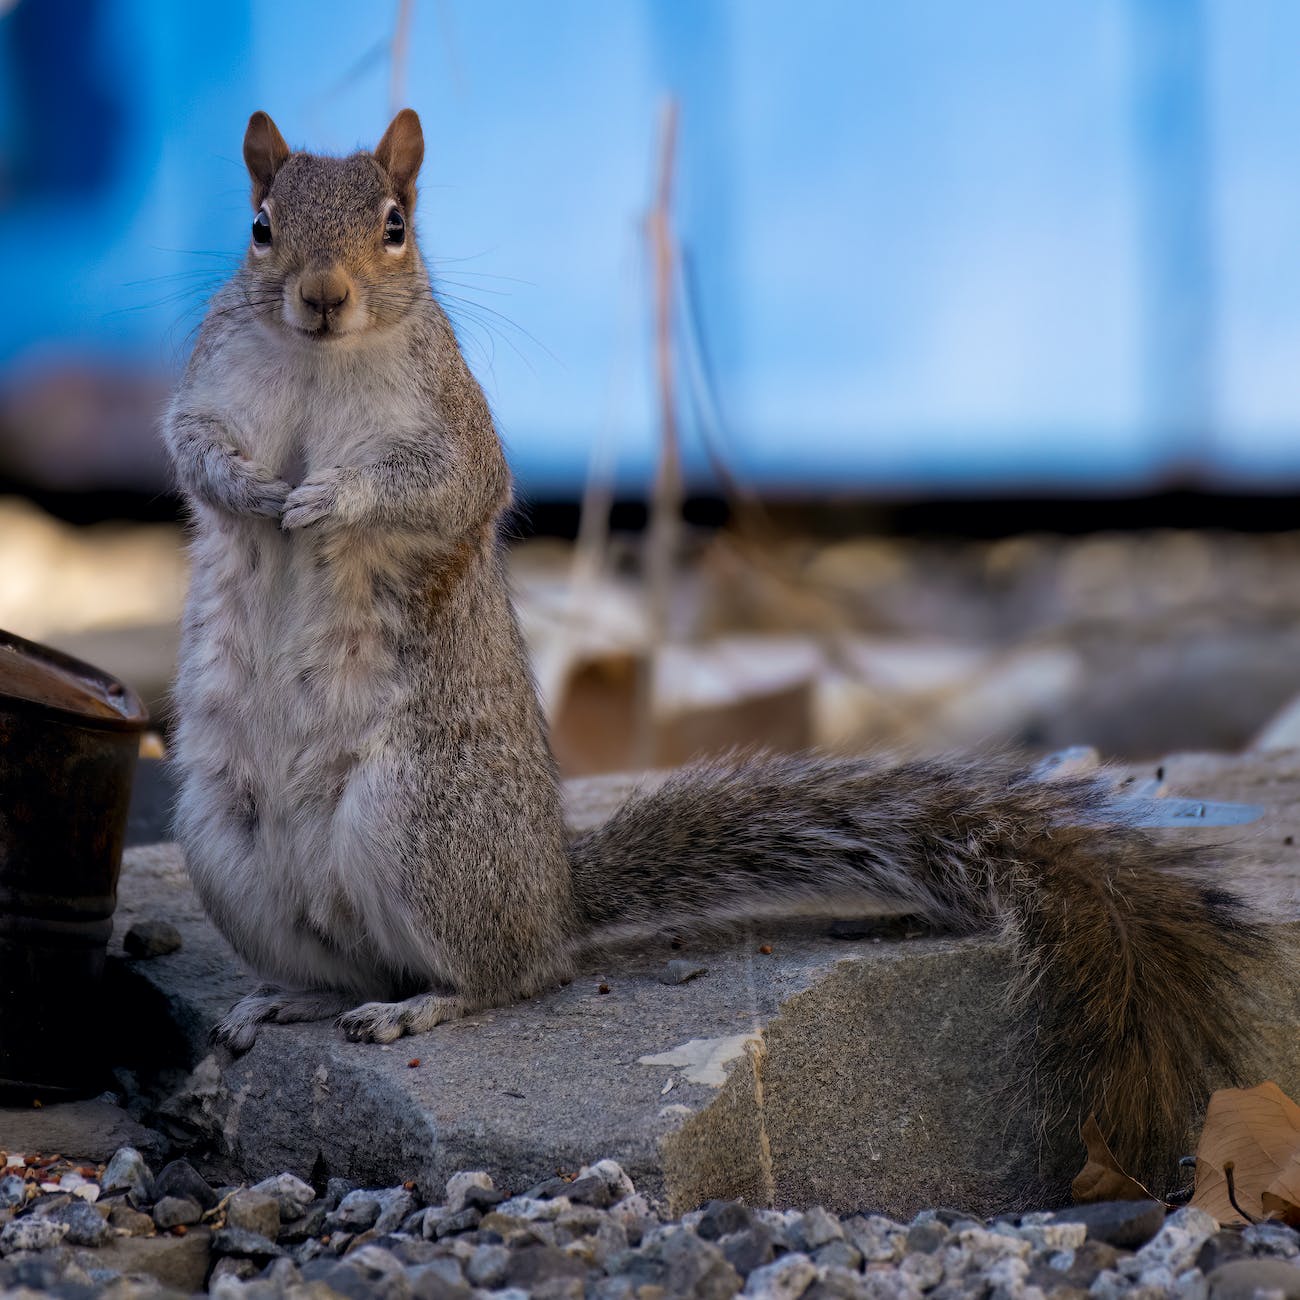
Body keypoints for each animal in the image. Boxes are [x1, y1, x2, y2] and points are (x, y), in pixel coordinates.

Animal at [165, 108, 1264, 1190]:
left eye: (395, 226)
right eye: (260, 226)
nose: (321, 297)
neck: (320, 363)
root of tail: (554, 897)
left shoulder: (453, 432)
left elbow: (428, 487)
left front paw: (324, 496)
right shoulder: (209, 388)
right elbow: (193, 446)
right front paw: (249, 488)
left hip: (419, 827)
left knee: (508, 975)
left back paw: (422, 1004)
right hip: (229, 851)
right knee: (355, 961)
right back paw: (292, 999)